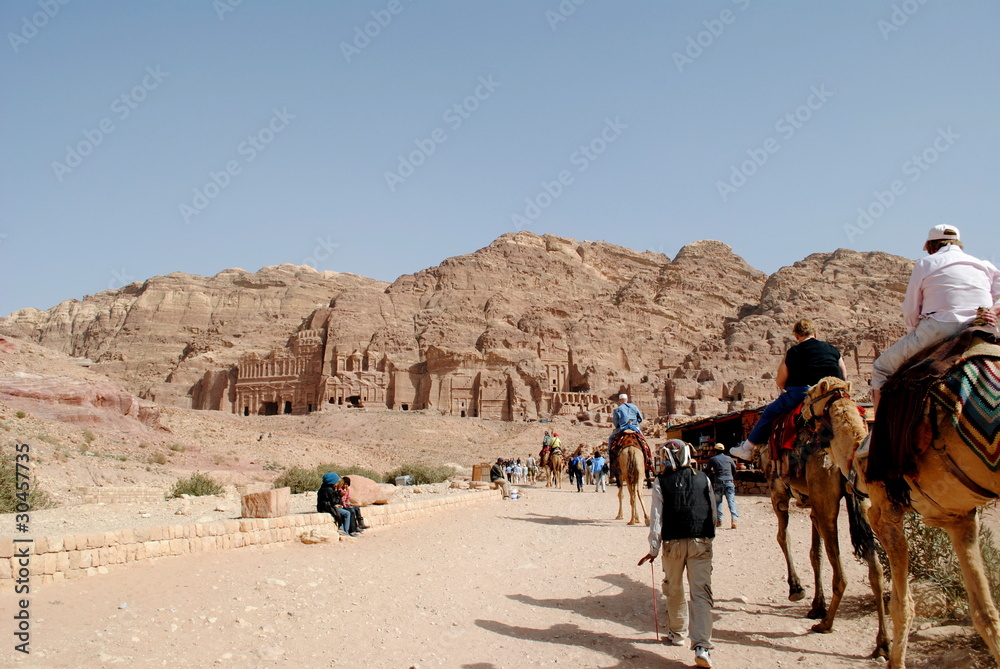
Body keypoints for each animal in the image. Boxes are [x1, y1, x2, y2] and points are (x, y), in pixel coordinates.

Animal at [752, 402, 888, 656]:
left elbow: (783, 538)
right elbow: (816, 554)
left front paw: (797, 589)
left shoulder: (778, 493)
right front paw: (817, 605)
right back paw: (883, 644)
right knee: (876, 570)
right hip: (861, 501)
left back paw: (826, 624)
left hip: (824, 497)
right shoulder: (813, 505)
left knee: (842, 576)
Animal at [800, 366, 1000, 668]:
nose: (800, 409)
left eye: (812, 393)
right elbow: (985, 613)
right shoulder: (959, 519)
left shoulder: (885, 517)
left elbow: (901, 603)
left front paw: (895, 659)